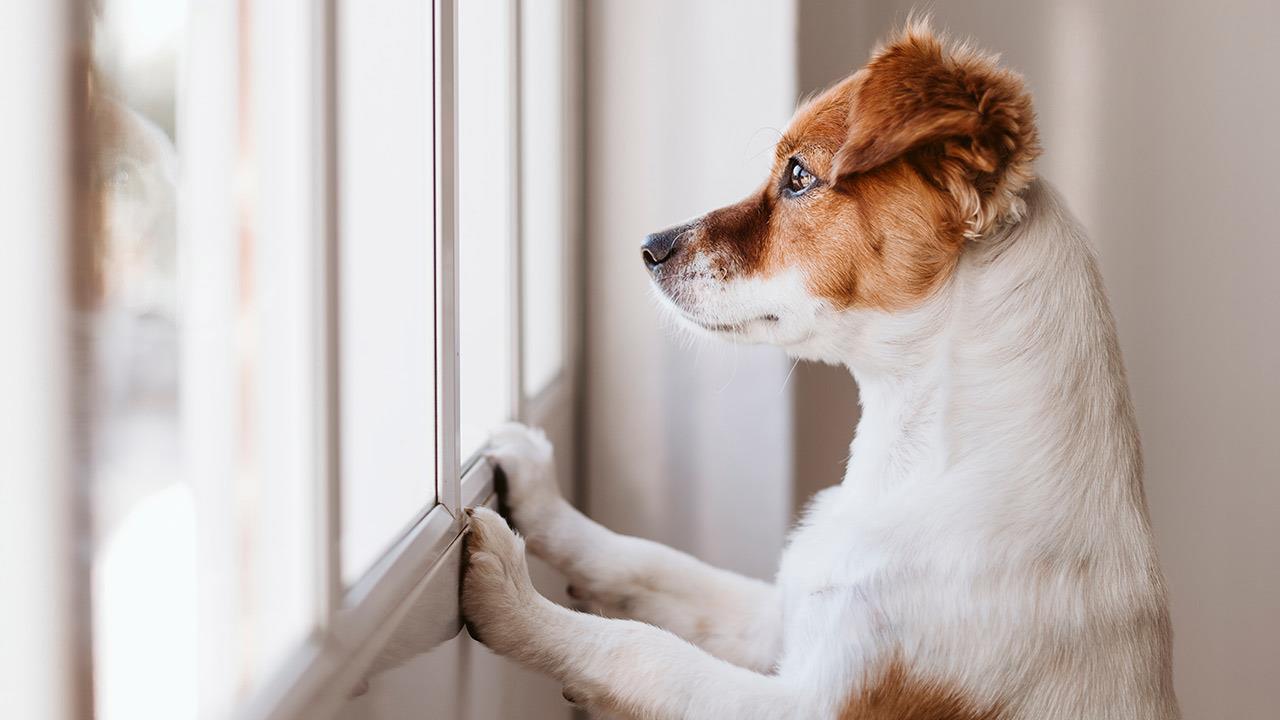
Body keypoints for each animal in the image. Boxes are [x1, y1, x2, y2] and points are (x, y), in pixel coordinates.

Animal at [460, 22, 1177, 717]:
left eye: (799, 176)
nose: (648, 247)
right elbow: (648, 563)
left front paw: (513, 599)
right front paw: (540, 497)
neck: (913, 465)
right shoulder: (780, 618)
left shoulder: (814, 701)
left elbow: (643, 651)